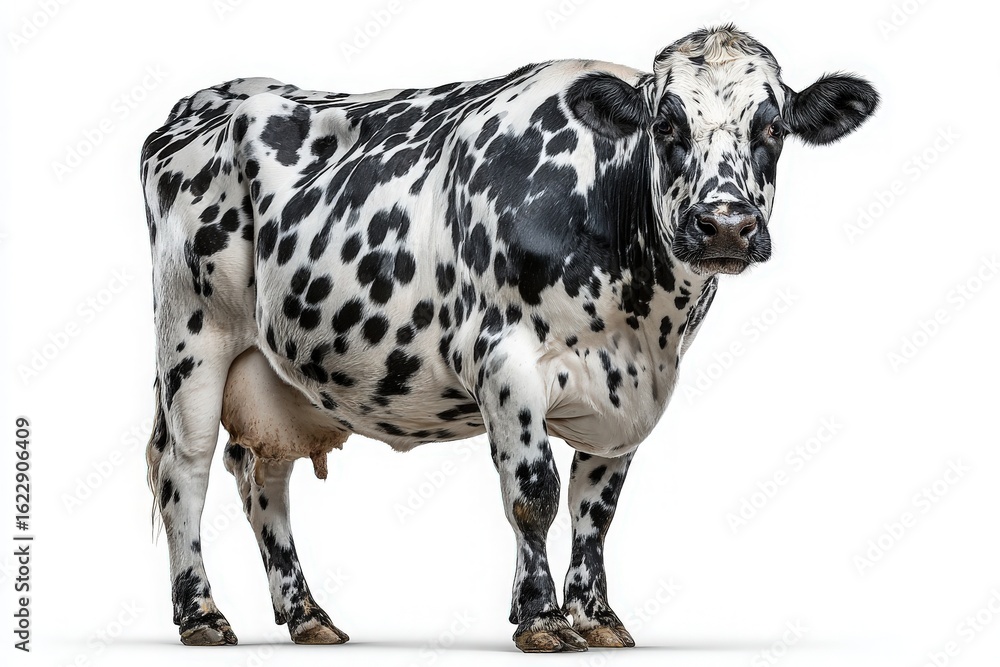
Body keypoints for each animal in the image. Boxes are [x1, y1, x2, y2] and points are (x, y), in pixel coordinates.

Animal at [141, 25, 878, 653]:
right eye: (667, 123)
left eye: (772, 126)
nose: (724, 223)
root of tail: (212, 98)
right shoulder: (504, 362)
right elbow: (535, 494)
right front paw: (541, 617)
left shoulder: (630, 394)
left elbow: (595, 510)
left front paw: (596, 615)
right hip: (191, 338)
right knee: (185, 468)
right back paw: (201, 613)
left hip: (272, 364)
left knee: (262, 471)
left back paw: (306, 613)